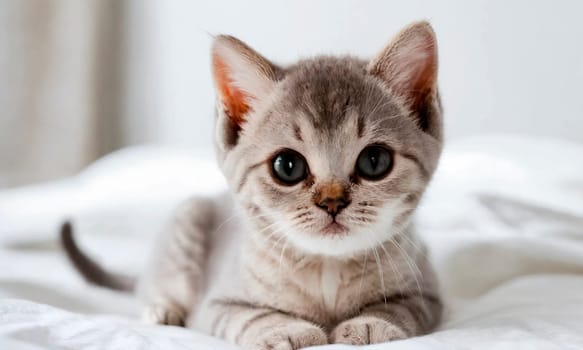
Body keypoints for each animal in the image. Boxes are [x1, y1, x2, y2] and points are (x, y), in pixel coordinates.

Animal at [61, 21, 444, 348]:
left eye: (374, 161)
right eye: (287, 167)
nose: (332, 201)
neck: (327, 270)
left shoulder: (428, 291)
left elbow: (401, 306)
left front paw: (371, 323)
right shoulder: (216, 304)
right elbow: (252, 316)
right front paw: (287, 329)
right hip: (188, 219)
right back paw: (161, 310)